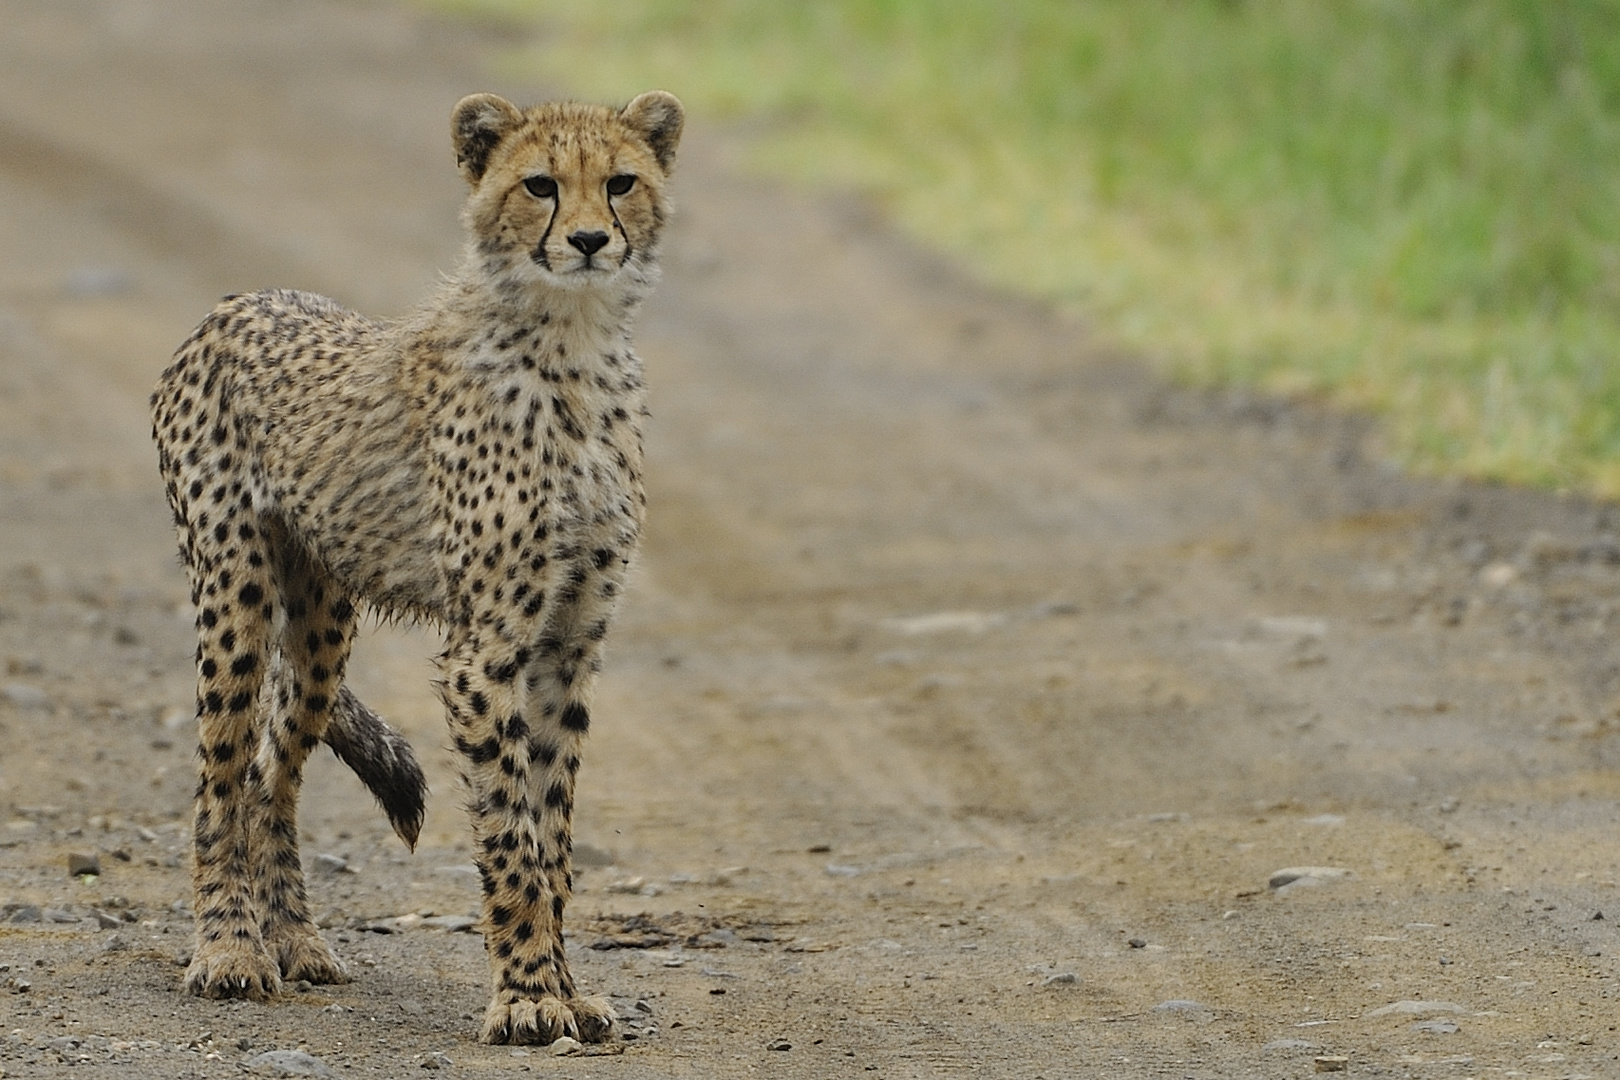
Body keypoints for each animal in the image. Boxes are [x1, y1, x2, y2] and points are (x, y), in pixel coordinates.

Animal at [149, 93, 686, 1049]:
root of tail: (241, 299)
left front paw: (565, 989)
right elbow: (511, 837)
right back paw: (230, 951)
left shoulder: (568, 644)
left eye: (622, 182)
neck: (574, 346)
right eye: (539, 185)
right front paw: (526, 999)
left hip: (320, 627)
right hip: (235, 594)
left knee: (272, 775)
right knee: (219, 779)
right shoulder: (487, 651)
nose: (590, 240)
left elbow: (553, 833)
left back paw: (296, 941)